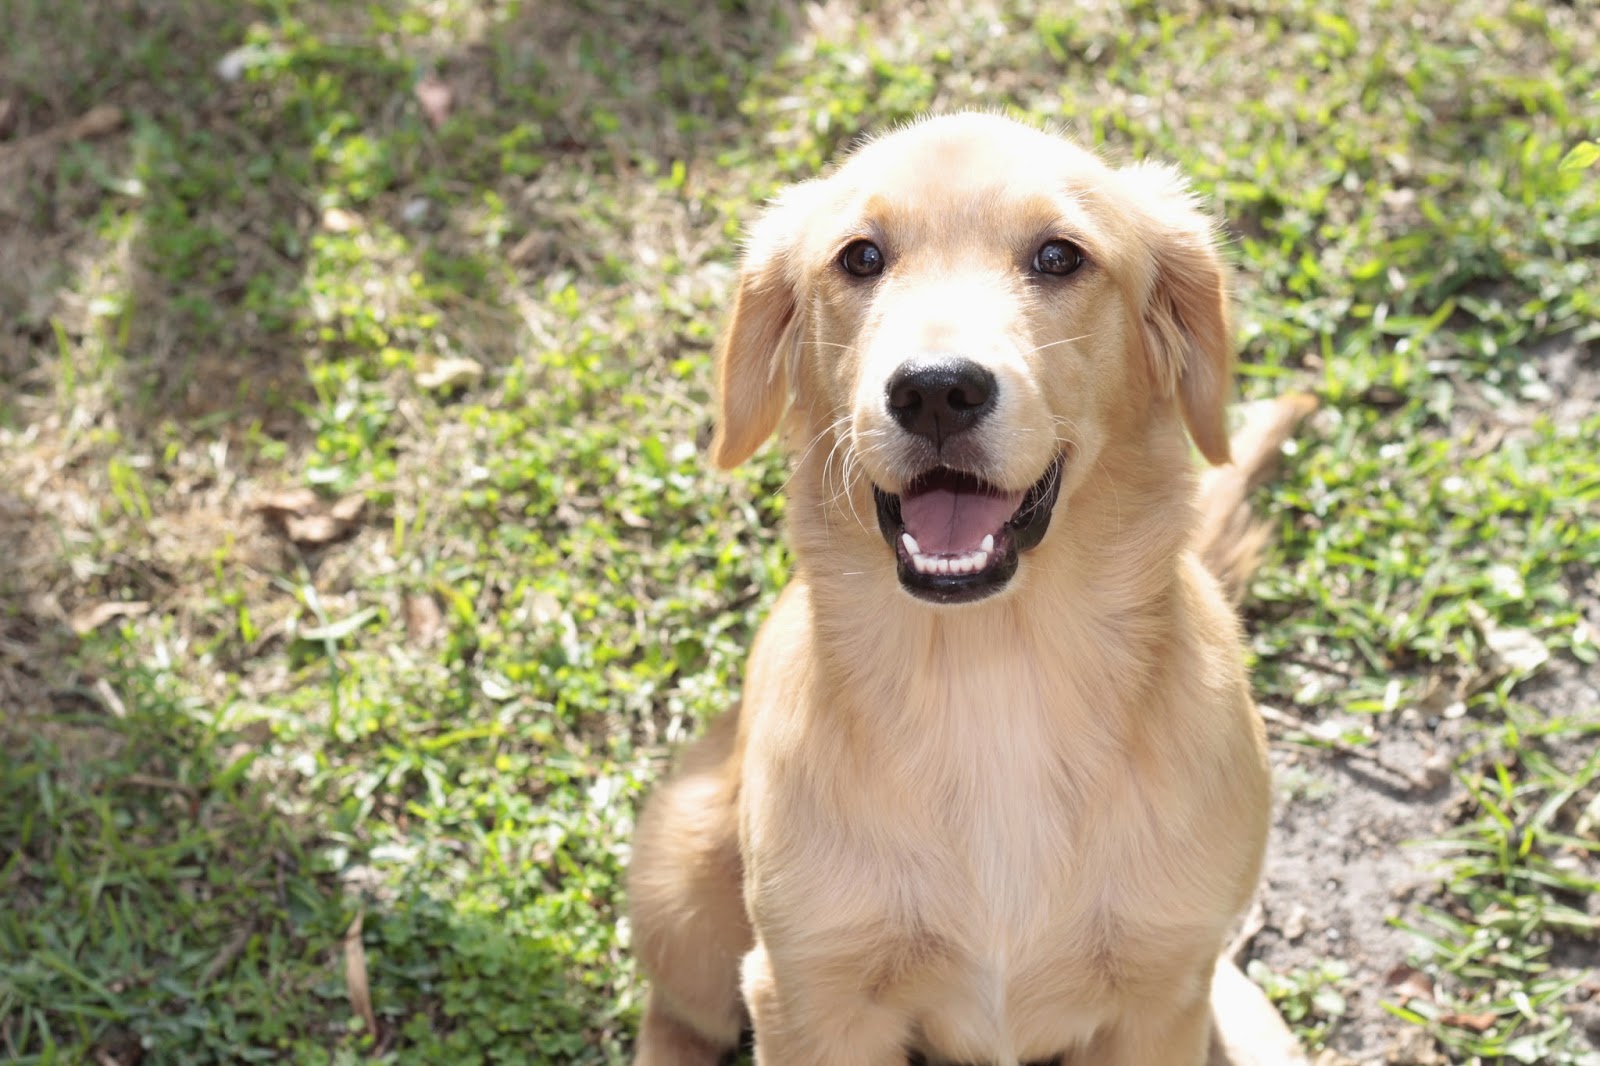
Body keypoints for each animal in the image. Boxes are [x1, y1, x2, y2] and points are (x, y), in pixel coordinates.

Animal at [629, 112, 1309, 1066]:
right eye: (861, 257)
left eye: (1059, 256)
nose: (936, 390)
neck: (994, 673)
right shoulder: (810, 997)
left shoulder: (1159, 996)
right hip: (682, 882)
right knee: (676, 1014)